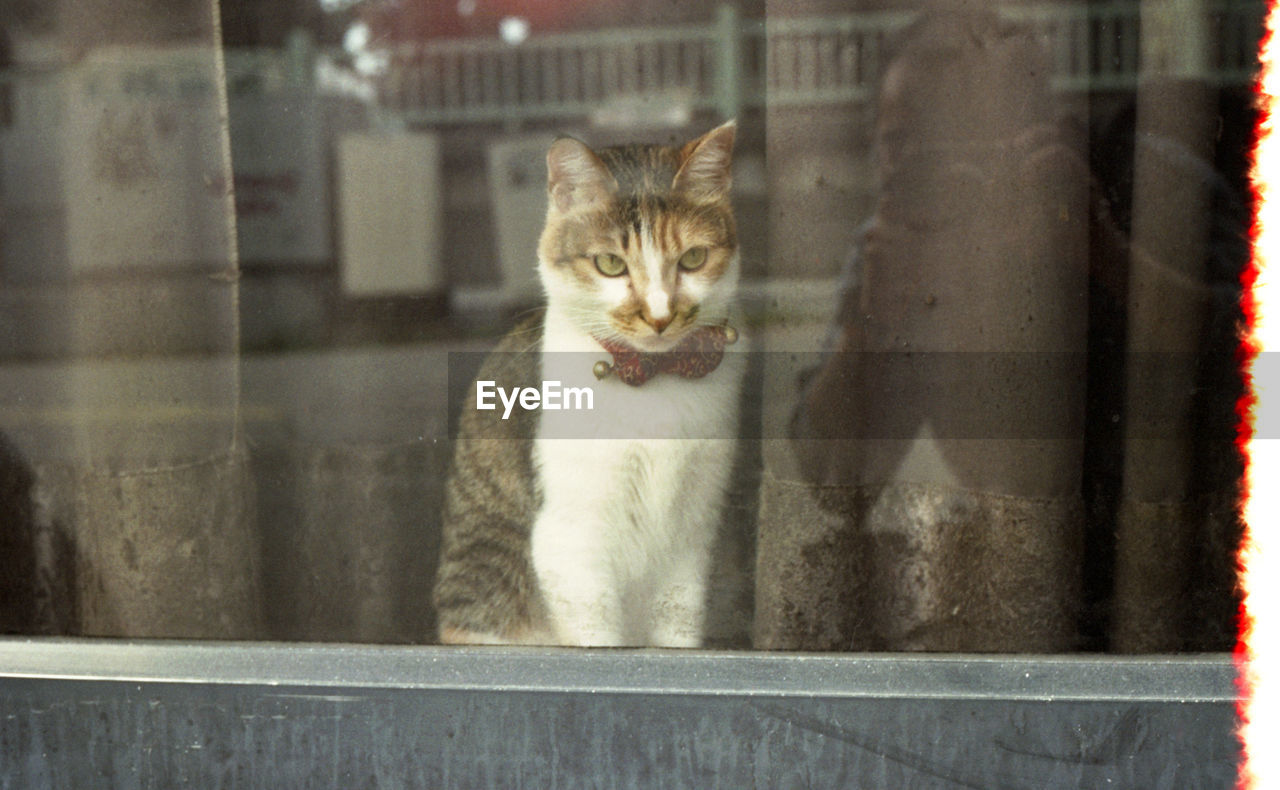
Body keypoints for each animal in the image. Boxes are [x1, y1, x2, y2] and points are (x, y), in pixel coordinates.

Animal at [435, 120, 747, 642]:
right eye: (611, 264)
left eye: (693, 258)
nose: (659, 316)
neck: (652, 380)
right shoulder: (571, 545)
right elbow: (597, 641)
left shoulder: (691, 541)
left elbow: (678, 633)